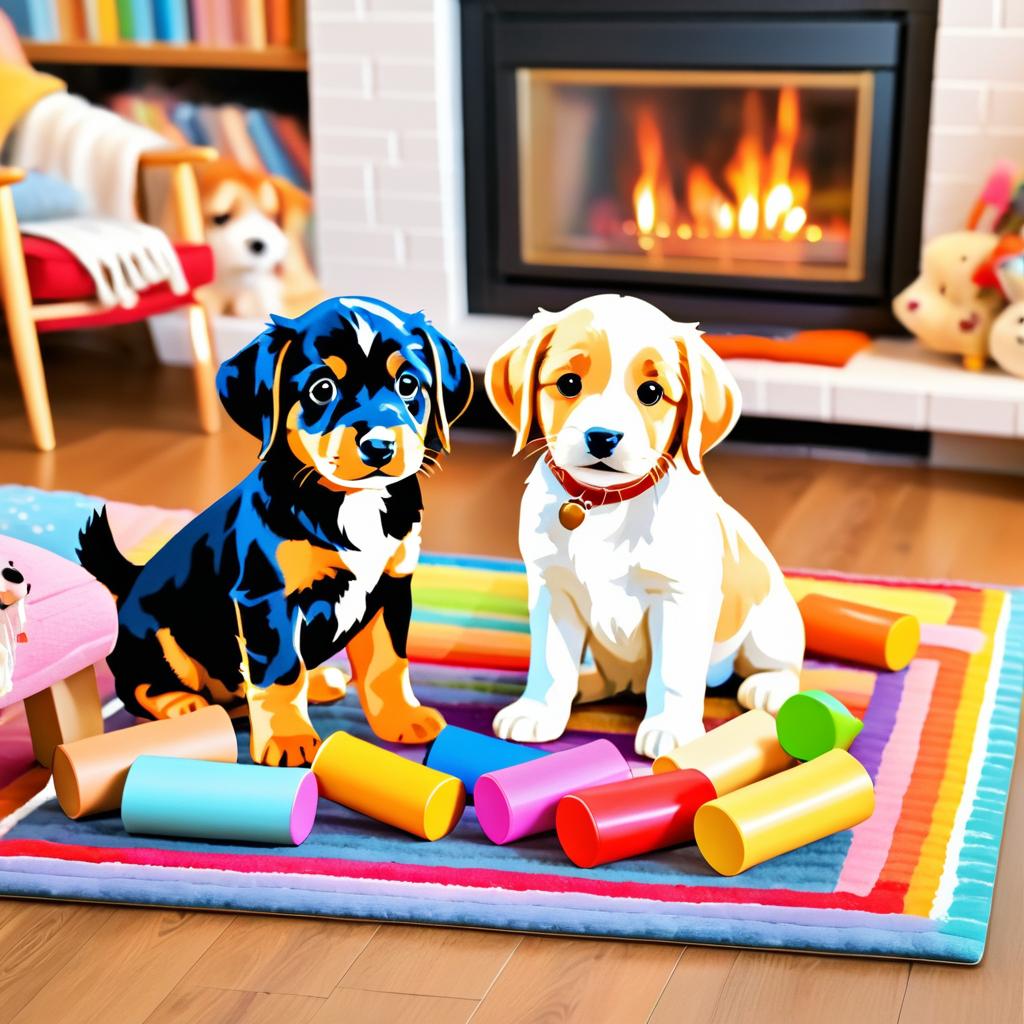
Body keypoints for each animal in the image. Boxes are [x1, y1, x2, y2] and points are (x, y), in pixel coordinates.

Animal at [78, 292, 471, 765]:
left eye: (408, 384)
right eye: (322, 389)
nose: (379, 445)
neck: (352, 502)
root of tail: (129, 581)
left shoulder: (393, 587)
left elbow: (388, 662)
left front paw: (400, 717)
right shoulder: (266, 599)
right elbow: (281, 673)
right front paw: (288, 741)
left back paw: (318, 682)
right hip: (158, 638)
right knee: (141, 688)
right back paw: (185, 705)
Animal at [487, 296, 806, 761]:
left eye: (651, 393)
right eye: (568, 383)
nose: (602, 437)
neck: (601, 504)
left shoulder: (679, 597)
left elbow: (671, 673)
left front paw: (670, 728)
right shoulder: (552, 590)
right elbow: (550, 662)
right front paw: (538, 710)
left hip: (769, 620)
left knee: (782, 665)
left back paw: (768, 686)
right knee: (605, 676)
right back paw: (585, 684)